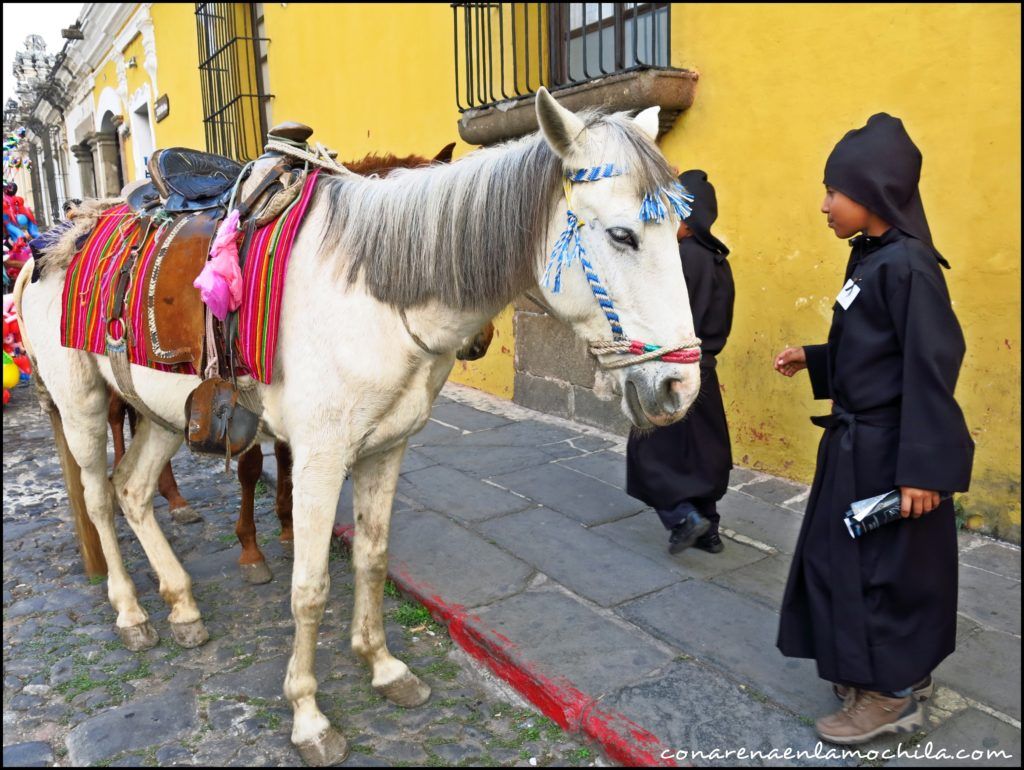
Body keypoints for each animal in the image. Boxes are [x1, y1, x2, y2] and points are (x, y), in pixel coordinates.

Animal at [109, 141, 495, 581]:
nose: (480, 342)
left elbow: (286, 457)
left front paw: (287, 524)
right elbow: (250, 465)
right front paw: (251, 549)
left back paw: (171, 499)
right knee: (119, 416)